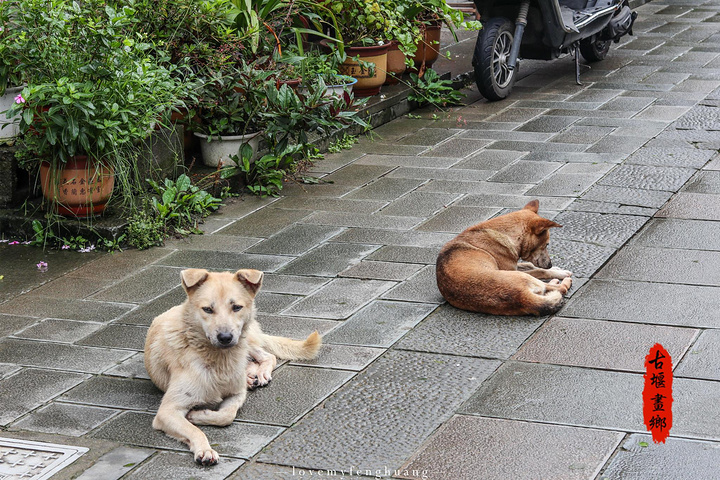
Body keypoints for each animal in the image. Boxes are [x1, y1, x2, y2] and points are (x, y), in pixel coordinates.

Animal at [145, 268, 320, 464]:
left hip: (246, 341)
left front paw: (198, 415)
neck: (218, 360)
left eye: (236, 307)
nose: (225, 337)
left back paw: (258, 374)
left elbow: (227, 415)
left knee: (268, 356)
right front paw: (205, 449)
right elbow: (194, 430)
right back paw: (251, 377)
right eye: (207, 309)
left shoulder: (237, 394)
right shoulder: (168, 411)